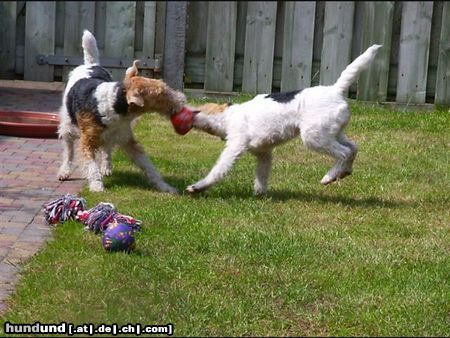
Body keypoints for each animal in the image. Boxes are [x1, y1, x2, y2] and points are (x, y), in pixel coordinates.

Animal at [57, 30, 185, 194]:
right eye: (160, 94)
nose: (182, 100)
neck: (114, 104)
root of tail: (91, 65)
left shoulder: (128, 140)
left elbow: (149, 167)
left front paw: (166, 187)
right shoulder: (87, 142)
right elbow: (92, 167)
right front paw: (97, 187)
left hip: (107, 137)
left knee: (106, 150)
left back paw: (106, 168)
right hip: (68, 128)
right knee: (69, 152)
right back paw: (64, 172)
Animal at [185, 45, 380, 195]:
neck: (228, 115)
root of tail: (336, 90)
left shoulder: (235, 147)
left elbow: (217, 171)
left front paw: (197, 187)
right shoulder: (264, 154)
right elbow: (262, 176)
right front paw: (259, 194)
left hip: (314, 137)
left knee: (344, 152)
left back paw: (329, 177)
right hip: (333, 133)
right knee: (353, 148)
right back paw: (344, 172)